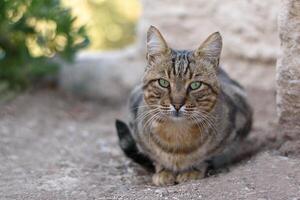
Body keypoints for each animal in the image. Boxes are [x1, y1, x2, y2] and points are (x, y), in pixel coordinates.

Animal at [116, 25, 252, 186]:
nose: (177, 104)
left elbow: (207, 158)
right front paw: (163, 171)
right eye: (163, 82)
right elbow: (156, 158)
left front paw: (193, 170)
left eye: (195, 85)